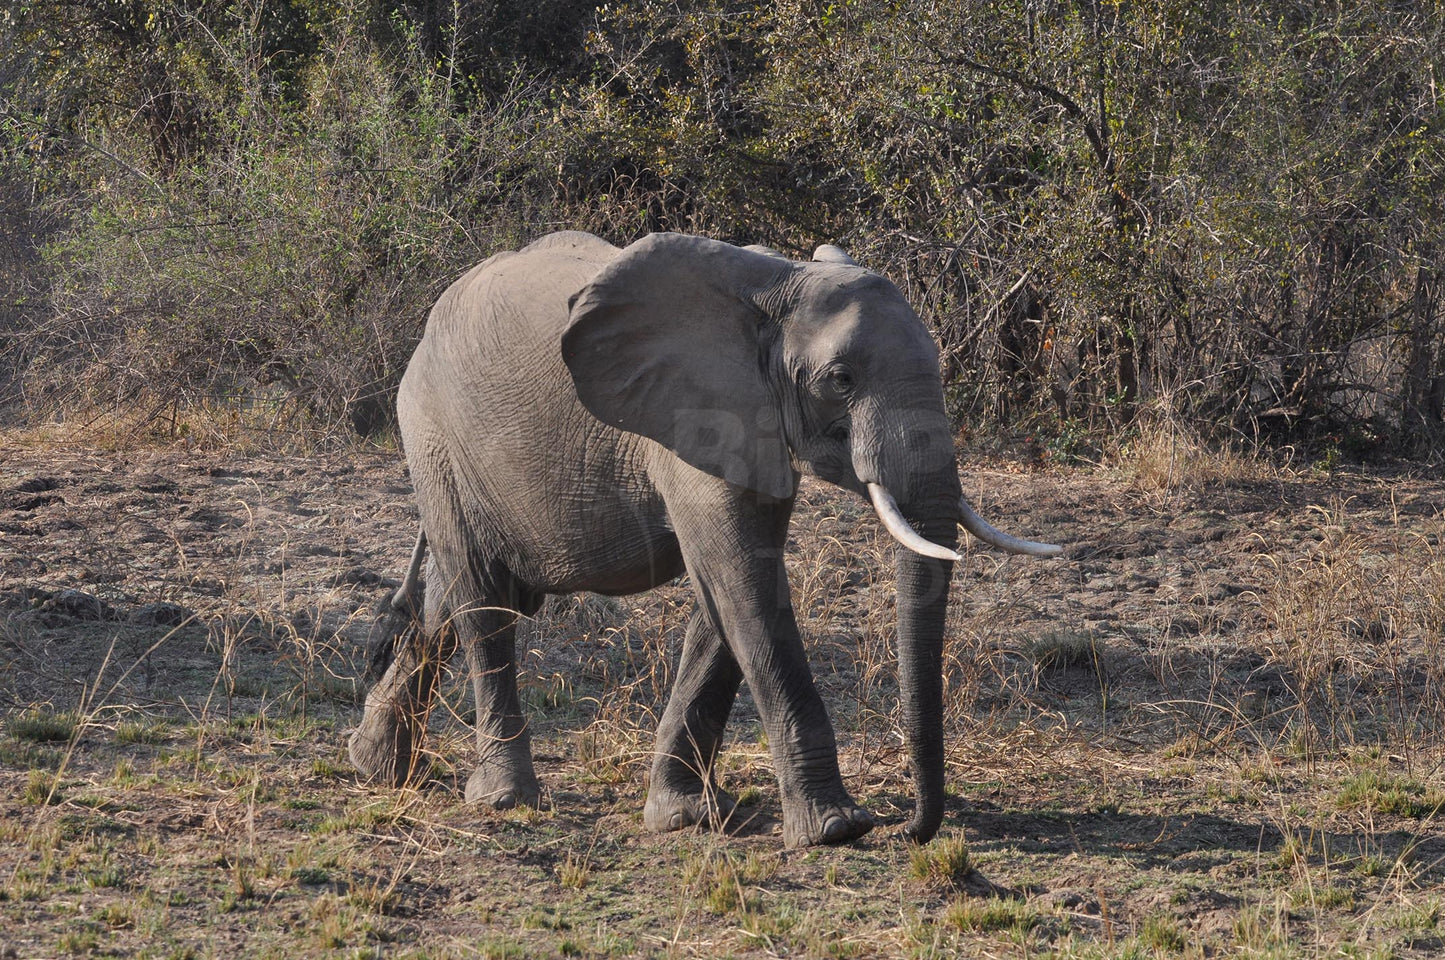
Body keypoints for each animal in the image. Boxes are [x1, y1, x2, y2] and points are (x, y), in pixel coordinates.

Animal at [343, 232, 1057, 850]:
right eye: (841, 380)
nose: (907, 827)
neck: (776, 286)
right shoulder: (694, 415)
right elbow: (745, 585)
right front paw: (835, 829)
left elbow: (726, 594)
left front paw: (685, 815)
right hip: (433, 432)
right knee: (483, 600)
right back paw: (503, 799)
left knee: (451, 599)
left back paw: (381, 768)